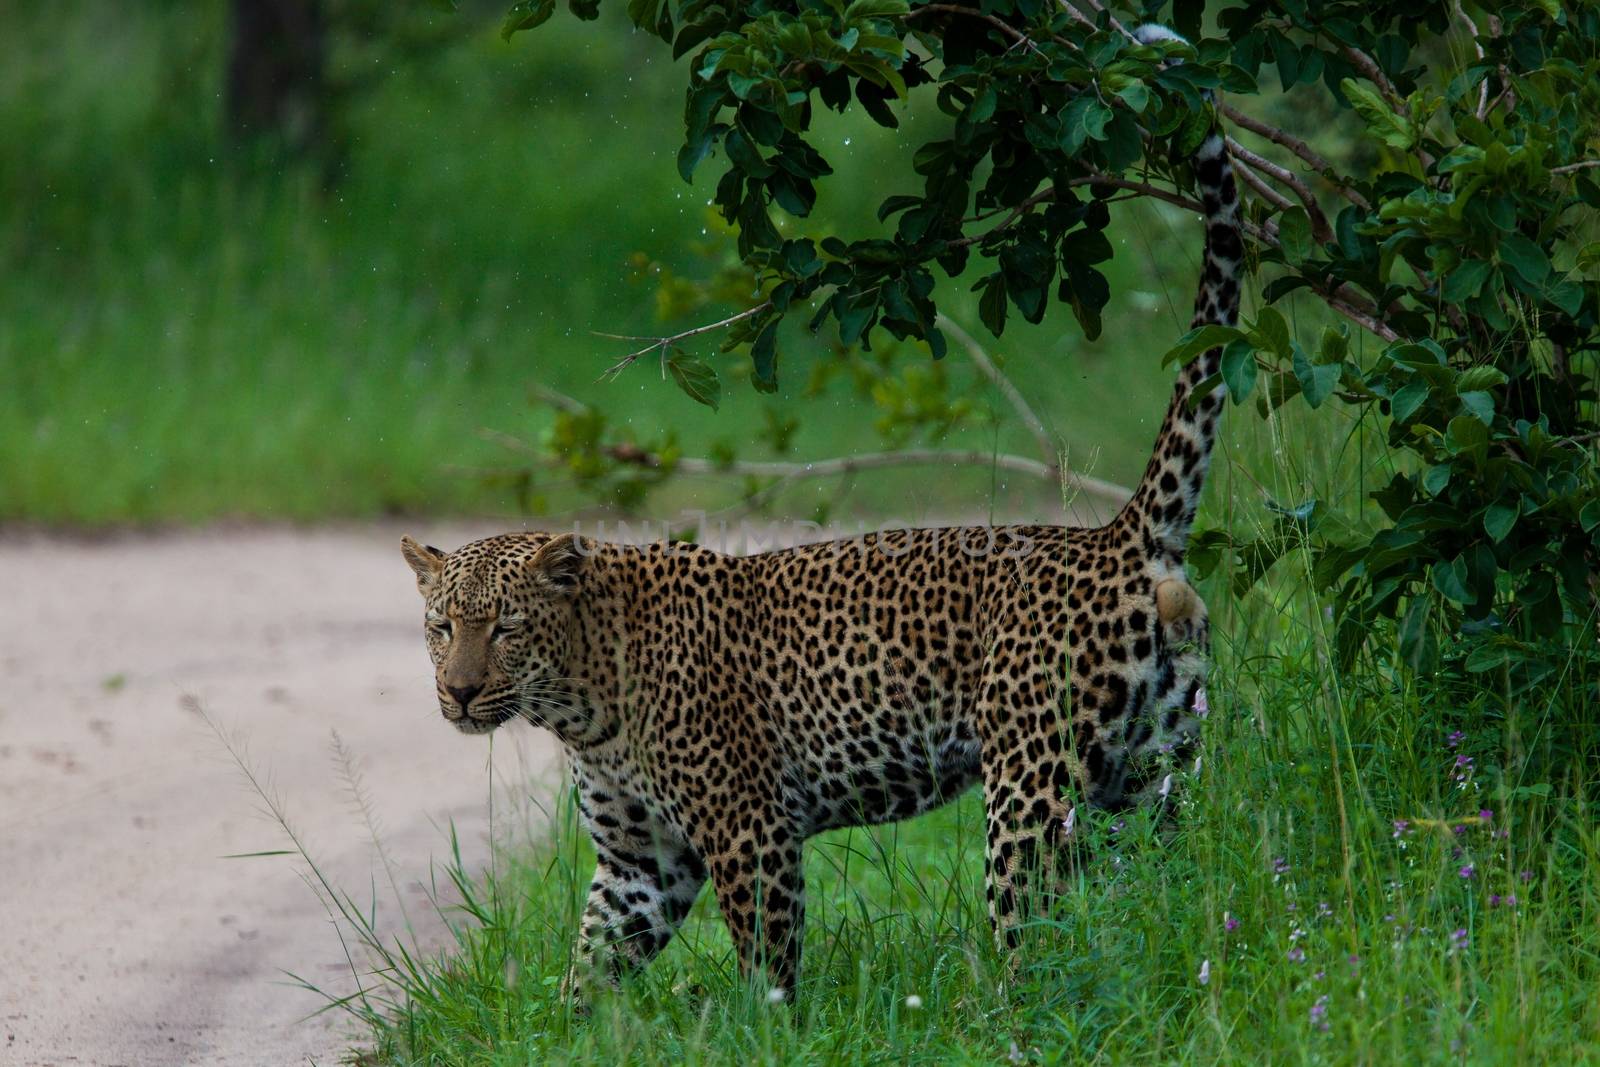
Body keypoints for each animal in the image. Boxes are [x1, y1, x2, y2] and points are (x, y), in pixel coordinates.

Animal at [396, 24, 1235, 1004]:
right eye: (441, 627)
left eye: (505, 628)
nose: (457, 692)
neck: (578, 702)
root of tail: (1121, 537)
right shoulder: (640, 863)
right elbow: (587, 975)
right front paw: (560, 1029)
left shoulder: (748, 828)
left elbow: (768, 971)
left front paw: (767, 1026)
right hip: (1156, 777)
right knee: (1167, 894)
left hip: (1034, 789)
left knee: (1035, 933)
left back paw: (1004, 1009)